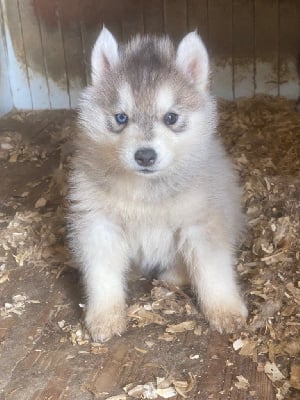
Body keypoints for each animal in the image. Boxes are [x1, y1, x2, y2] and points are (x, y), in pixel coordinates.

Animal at [68, 27, 248, 340]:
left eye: (171, 117)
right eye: (121, 118)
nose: (145, 155)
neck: (146, 191)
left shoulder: (202, 224)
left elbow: (213, 271)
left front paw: (225, 309)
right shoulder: (99, 225)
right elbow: (101, 275)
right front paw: (104, 315)